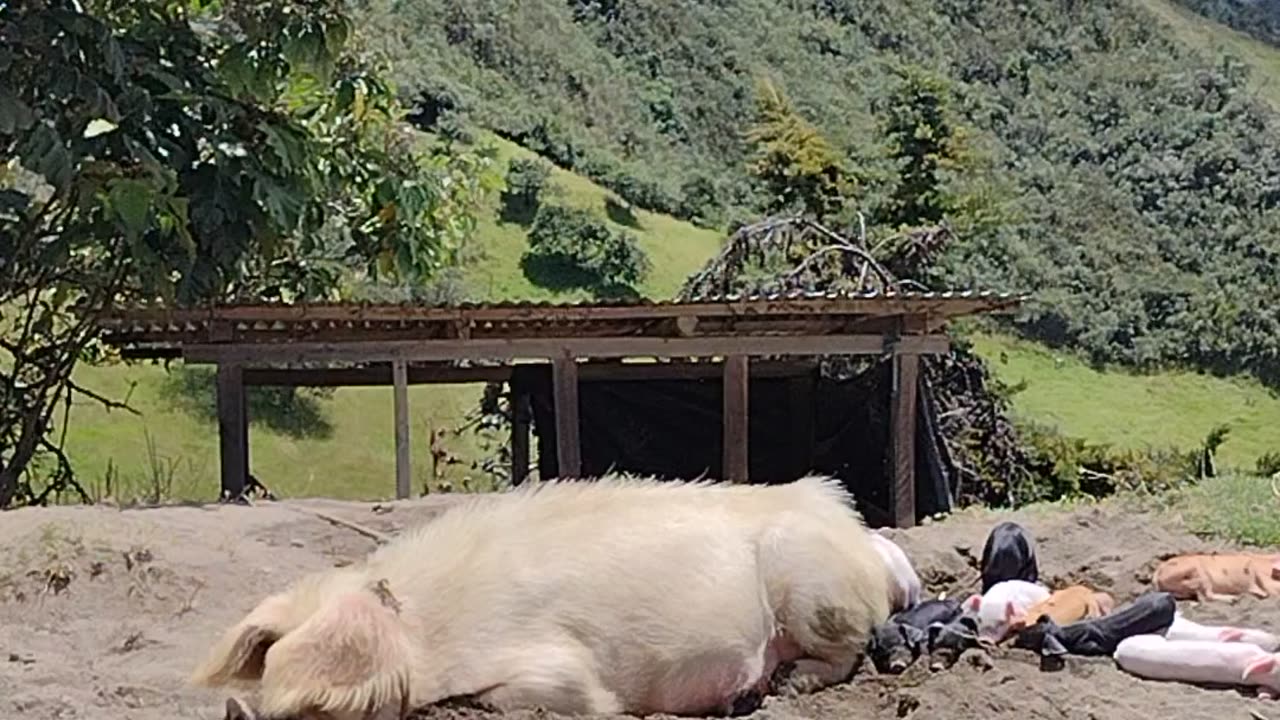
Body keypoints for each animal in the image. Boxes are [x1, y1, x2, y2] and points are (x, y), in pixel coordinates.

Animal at [189, 471, 890, 717]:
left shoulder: (558, 666)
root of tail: (841, 516)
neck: (423, 631)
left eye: (319, 709)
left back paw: (782, 688)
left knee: (849, 649)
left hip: (817, 590)